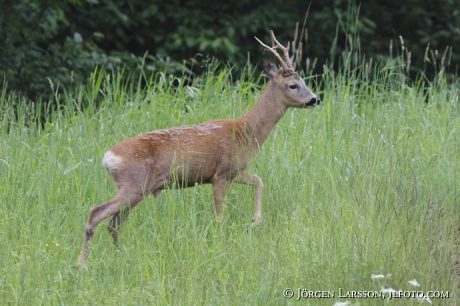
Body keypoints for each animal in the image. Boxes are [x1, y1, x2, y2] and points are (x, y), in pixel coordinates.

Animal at [77, 29, 322, 266]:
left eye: (304, 81)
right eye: (293, 85)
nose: (315, 99)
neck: (246, 132)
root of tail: (108, 157)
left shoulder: (236, 171)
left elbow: (259, 181)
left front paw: (255, 221)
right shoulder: (221, 175)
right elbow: (220, 217)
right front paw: (223, 244)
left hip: (135, 189)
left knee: (113, 223)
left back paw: (119, 256)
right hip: (134, 184)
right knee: (96, 213)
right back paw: (82, 265)